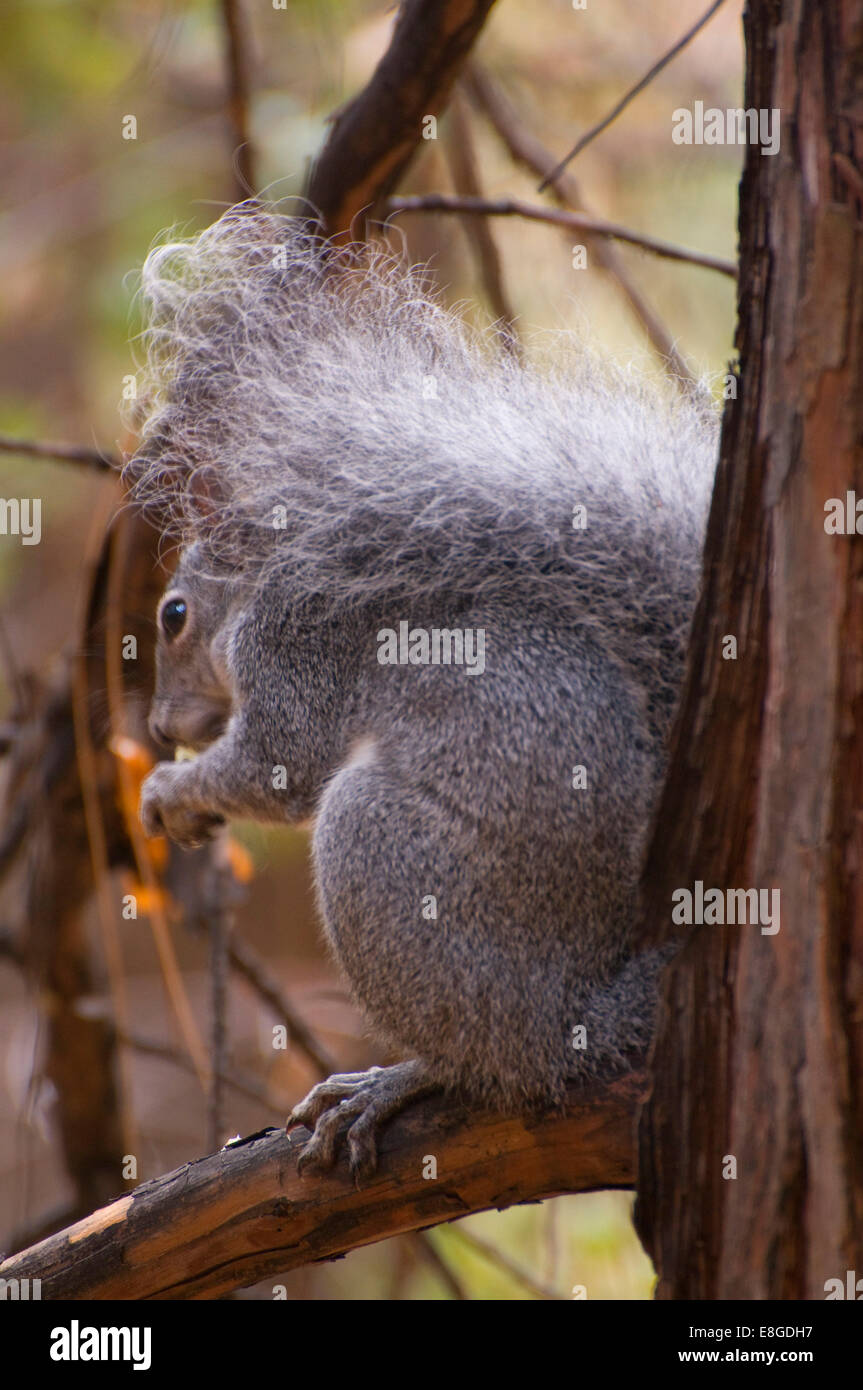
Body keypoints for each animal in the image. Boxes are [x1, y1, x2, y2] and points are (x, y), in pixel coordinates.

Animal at [127, 205, 717, 1178]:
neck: (266, 583)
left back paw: (396, 1080)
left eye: (174, 614)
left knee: (502, 1060)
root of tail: (595, 1010)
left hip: (391, 861)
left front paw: (174, 789)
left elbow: (279, 770)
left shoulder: (296, 648)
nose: (162, 724)